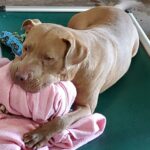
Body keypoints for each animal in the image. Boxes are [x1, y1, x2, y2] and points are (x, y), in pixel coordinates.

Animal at [10, 3, 139, 149]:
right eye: (26, 48)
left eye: (49, 58)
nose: (18, 76)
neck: (78, 68)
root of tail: (117, 8)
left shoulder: (87, 108)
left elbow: (63, 119)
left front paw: (40, 134)